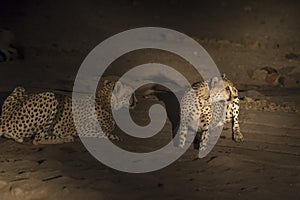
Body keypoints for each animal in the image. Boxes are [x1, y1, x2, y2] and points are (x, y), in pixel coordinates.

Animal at [0, 80, 137, 145]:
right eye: (131, 93)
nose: (136, 100)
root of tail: (4, 119)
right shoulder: (85, 129)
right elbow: (110, 135)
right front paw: (118, 137)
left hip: (20, 88)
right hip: (50, 96)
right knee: (37, 139)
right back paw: (65, 138)